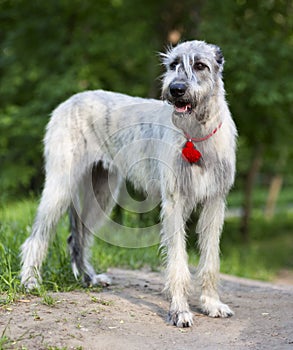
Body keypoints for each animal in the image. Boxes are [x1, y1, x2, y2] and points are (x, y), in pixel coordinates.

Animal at [20, 39, 236, 326]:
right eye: (173, 64)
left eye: (200, 65)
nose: (176, 89)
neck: (196, 135)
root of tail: (69, 100)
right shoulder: (174, 203)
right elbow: (178, 261)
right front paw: (180, 310)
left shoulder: (215, 202)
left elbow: (211, 259)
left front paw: (211, 304)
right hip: (61, 184)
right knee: (38, 236)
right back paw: (30, 281)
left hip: (102, 192)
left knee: (79, 235)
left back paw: (89, 278)